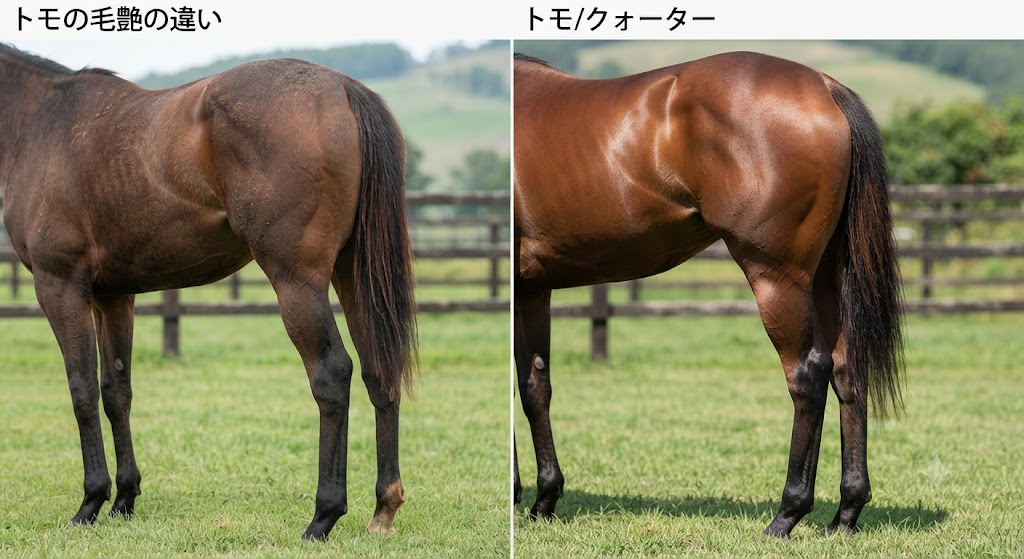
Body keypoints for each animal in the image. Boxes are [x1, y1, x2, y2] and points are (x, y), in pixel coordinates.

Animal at [0, 43, 417, 541]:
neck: (39, 122)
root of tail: (342, 88)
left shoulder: (60, 286)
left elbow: (81, 391)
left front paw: (90, 503)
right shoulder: (113, 297)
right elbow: (116, 391)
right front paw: (124, 500)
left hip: (297, 279)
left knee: (332, 373)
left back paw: (322, 517)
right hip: (353, 272)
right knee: (378, 371)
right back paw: (384, 507)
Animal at [513, 51, 904, 538]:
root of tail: (824, 87)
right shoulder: (532, 289)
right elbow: (534, 386)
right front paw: (543, 499)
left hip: (777, 277)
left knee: (809, 373)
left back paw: (787, 514)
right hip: (825, 278)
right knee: (847, 369)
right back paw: (846, 514)